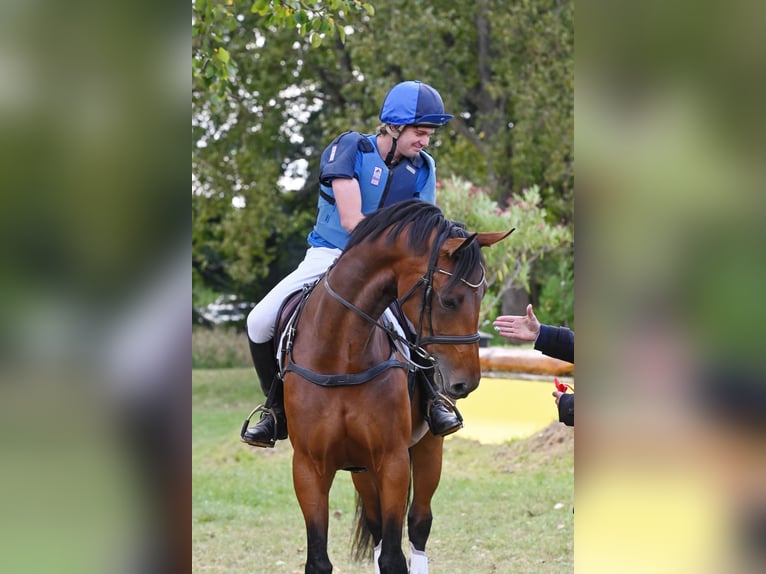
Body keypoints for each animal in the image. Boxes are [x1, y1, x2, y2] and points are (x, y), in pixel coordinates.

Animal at [279, 199, 512, 573]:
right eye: (449, 300)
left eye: (485, 293)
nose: (467, 382)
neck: (342, 353)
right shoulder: (309, 467)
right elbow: (319, 559)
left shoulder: (393, 461)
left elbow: (393, 556)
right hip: (360, 467)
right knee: (375, 525)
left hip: (428, 448)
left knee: (418, 523)